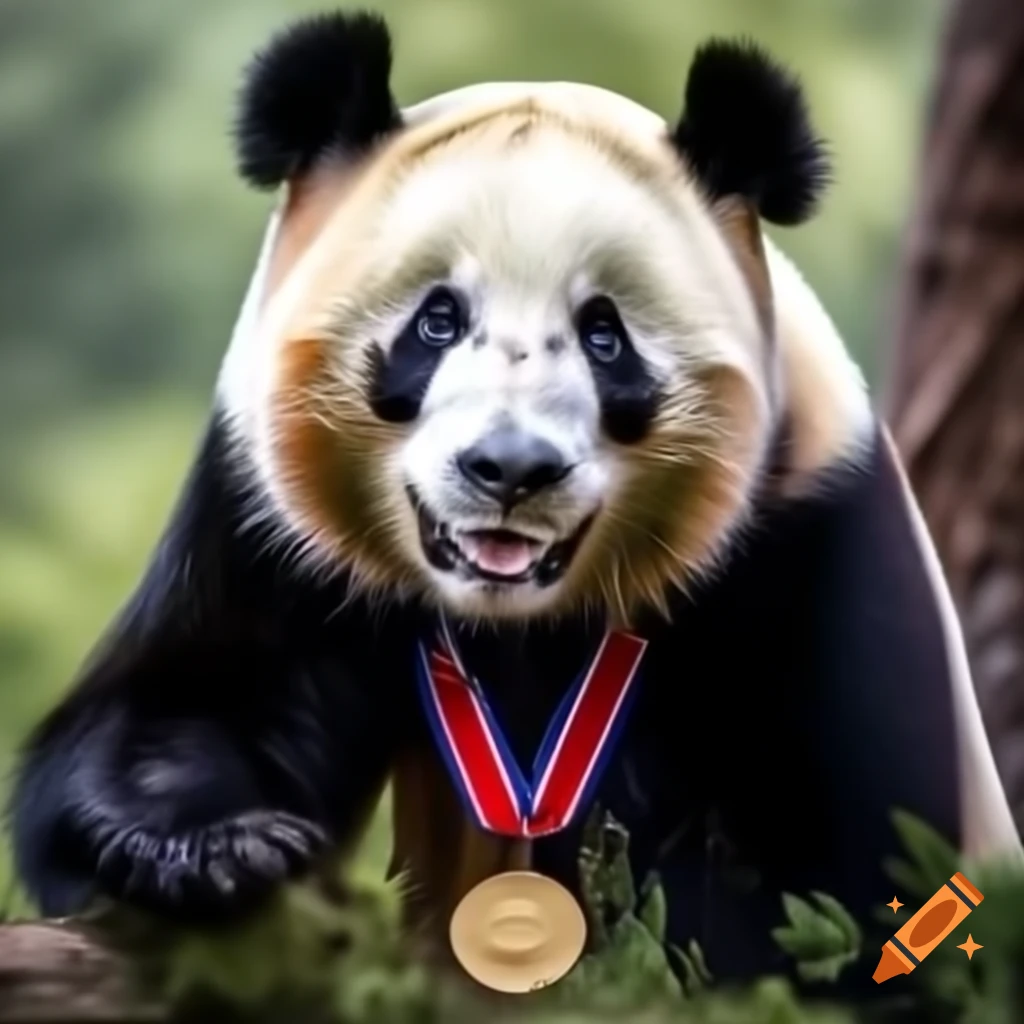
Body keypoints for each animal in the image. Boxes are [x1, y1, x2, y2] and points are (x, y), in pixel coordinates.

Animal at [8, 6, 1022, 995]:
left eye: (605, 336)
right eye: (437, 319)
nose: (510, 468)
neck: (517, 616)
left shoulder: (807, 536)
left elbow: (839, 873)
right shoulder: (271, 523)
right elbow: (183, 705)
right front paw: (217, 850)